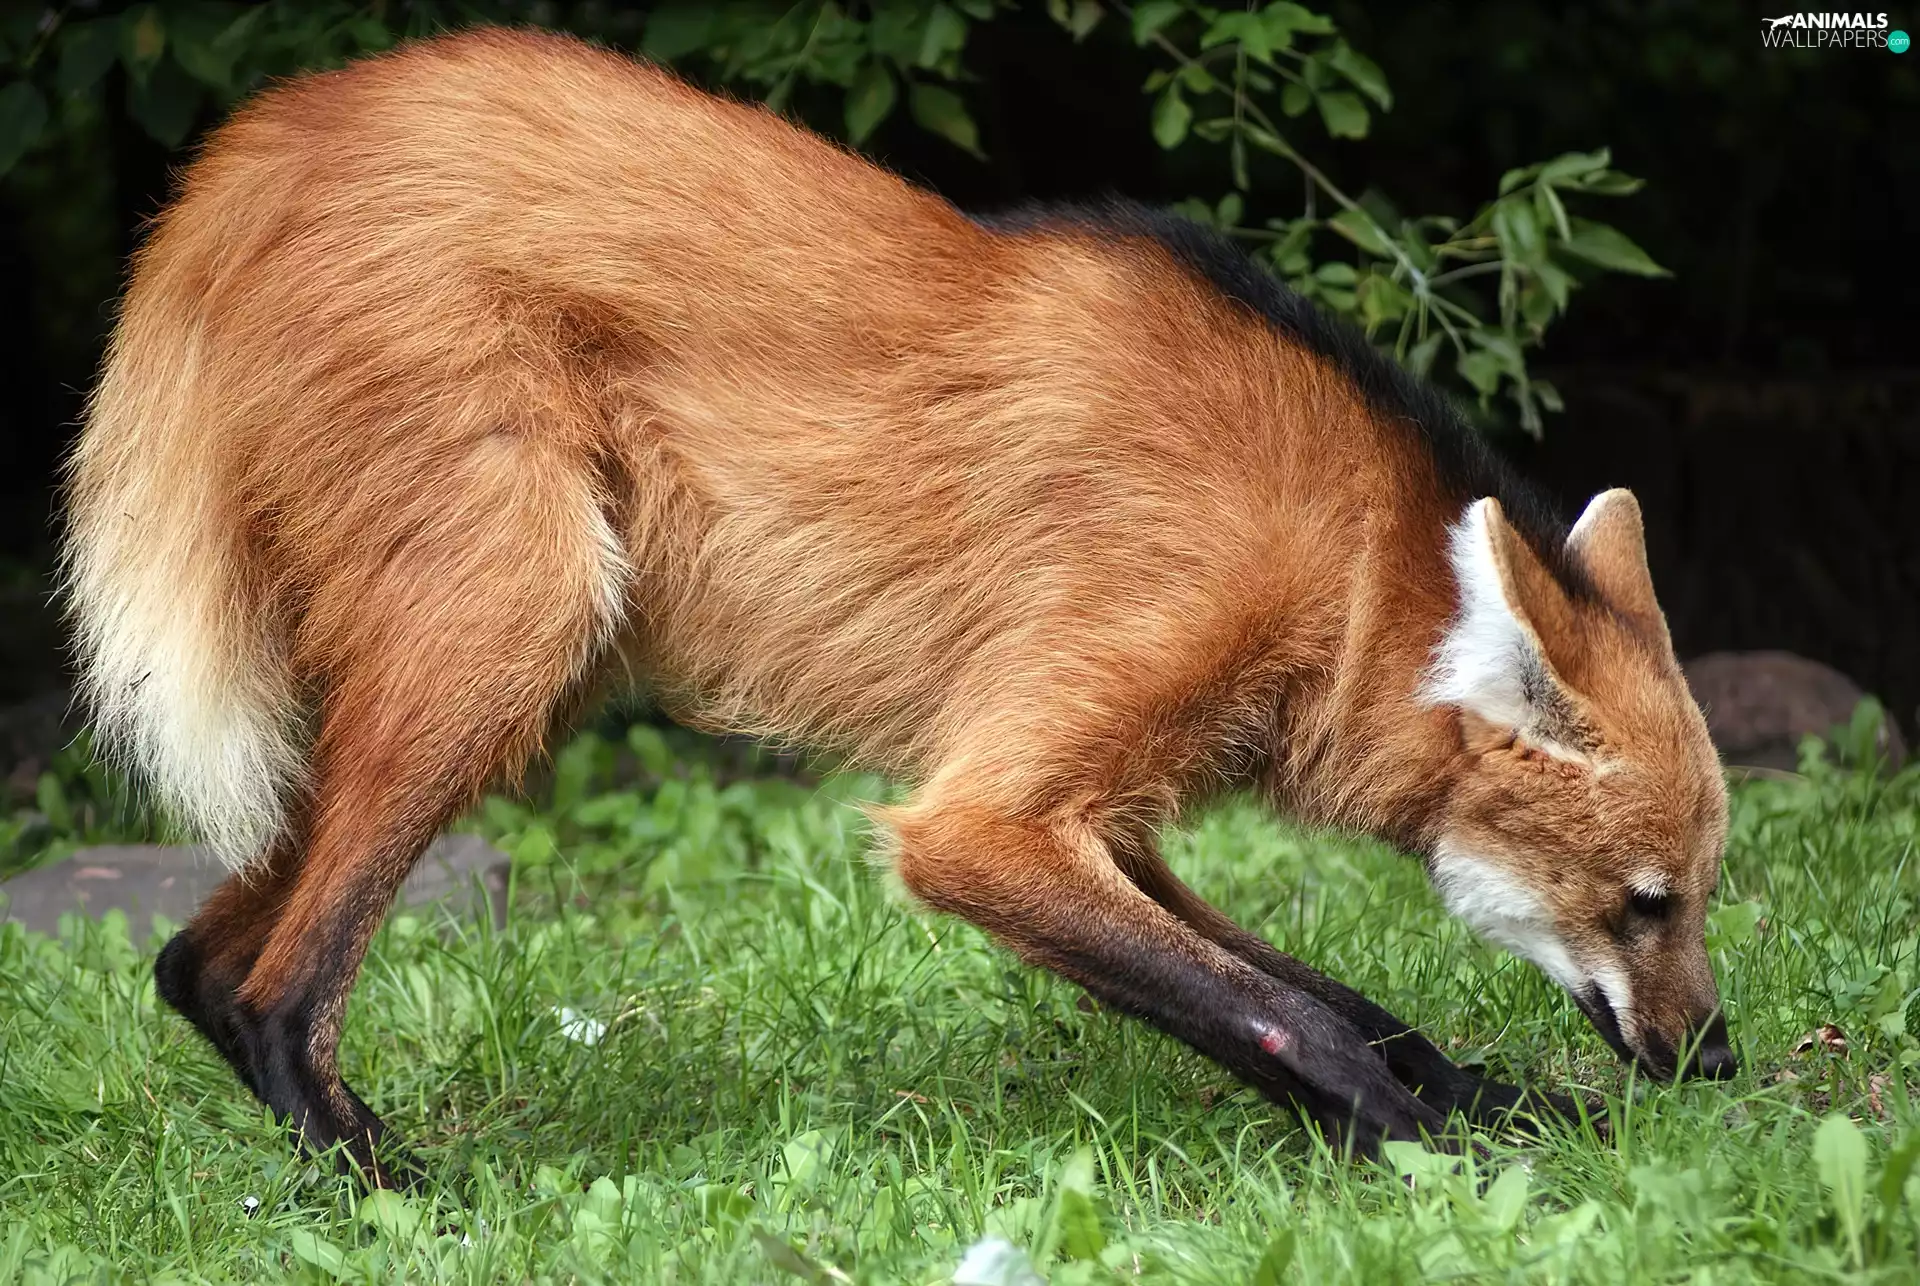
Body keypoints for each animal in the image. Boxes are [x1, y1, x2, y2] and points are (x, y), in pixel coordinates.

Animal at [62, 27, 1733, 1185]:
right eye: (1649, 900)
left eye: (1699, 894)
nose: (1709, 1062)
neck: (1348, 562)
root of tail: (259, 142)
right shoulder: (984, 818)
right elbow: (1283, 1008)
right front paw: (1431, 1148)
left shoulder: (1100, 804)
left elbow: (1311, 987)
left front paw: (1479, 1098)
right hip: (519, 621)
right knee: (277, 984)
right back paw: (398, 1190)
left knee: (193, 958)